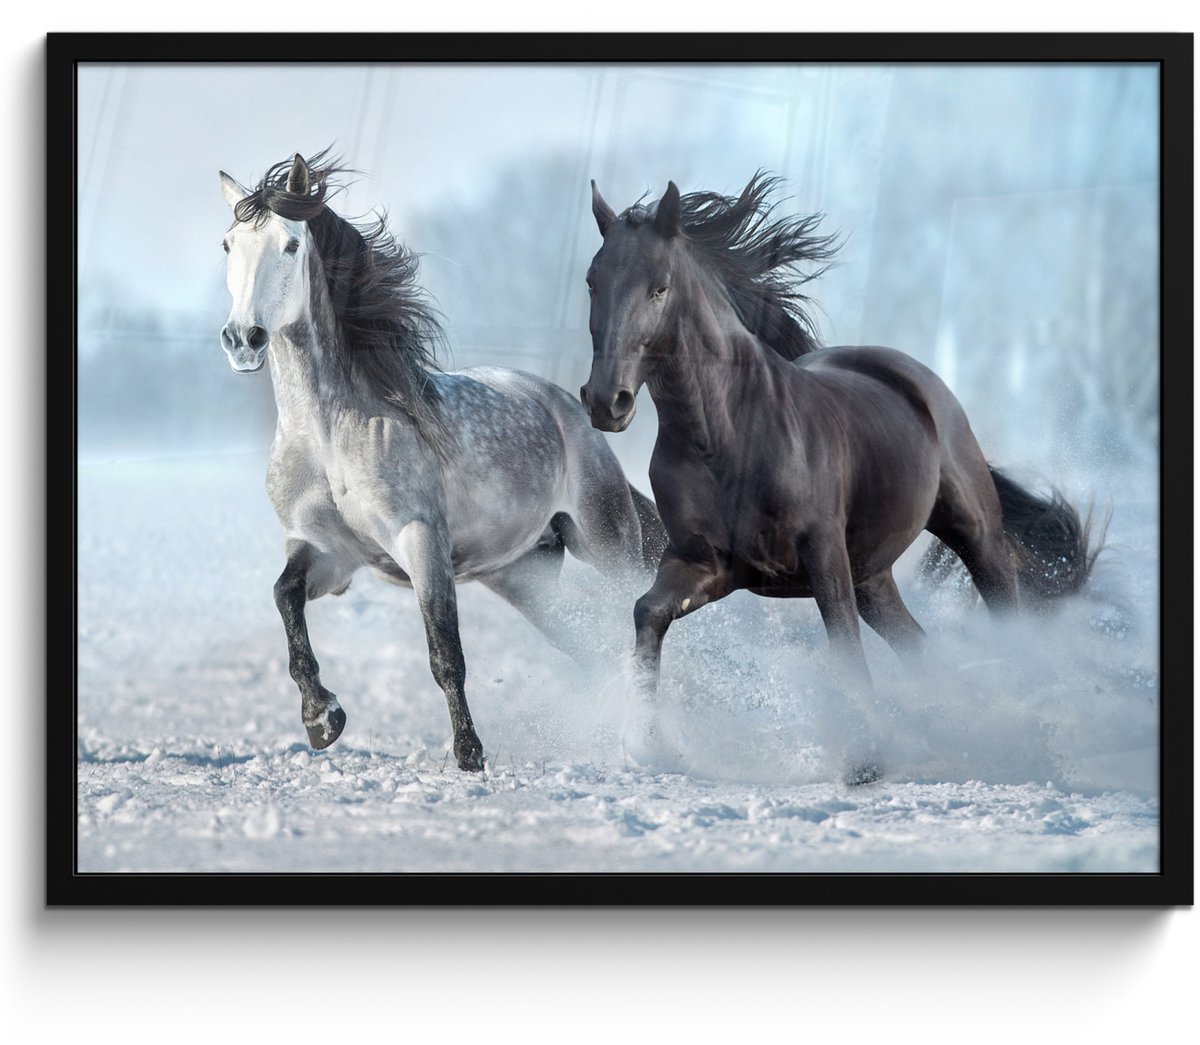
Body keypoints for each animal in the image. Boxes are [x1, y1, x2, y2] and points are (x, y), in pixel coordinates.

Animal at [218, 150, 666, 771]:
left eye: (289, 244)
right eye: (228, 245)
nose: (244, 339)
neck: (328, 435)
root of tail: (568, 408)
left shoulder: (420, 540)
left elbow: (444, 652)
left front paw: (469, 754)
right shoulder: (327, 552)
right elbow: (285, 598)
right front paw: (322, 718)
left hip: (607, 543)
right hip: (523, 576)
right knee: (587, 645)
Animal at [580, 173, 1101, 773]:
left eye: (659, 288)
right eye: (592, 282)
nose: (606, 402)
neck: (726, 437)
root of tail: (915, 378)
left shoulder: (823, 554)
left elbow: (844, 646)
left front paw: (865, 761)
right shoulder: (704, 563)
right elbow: (648, 612)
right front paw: (648, 743)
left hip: (974, 534)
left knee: (1004, 612)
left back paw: (1023, 732)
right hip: (873, 575)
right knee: (918, 645)